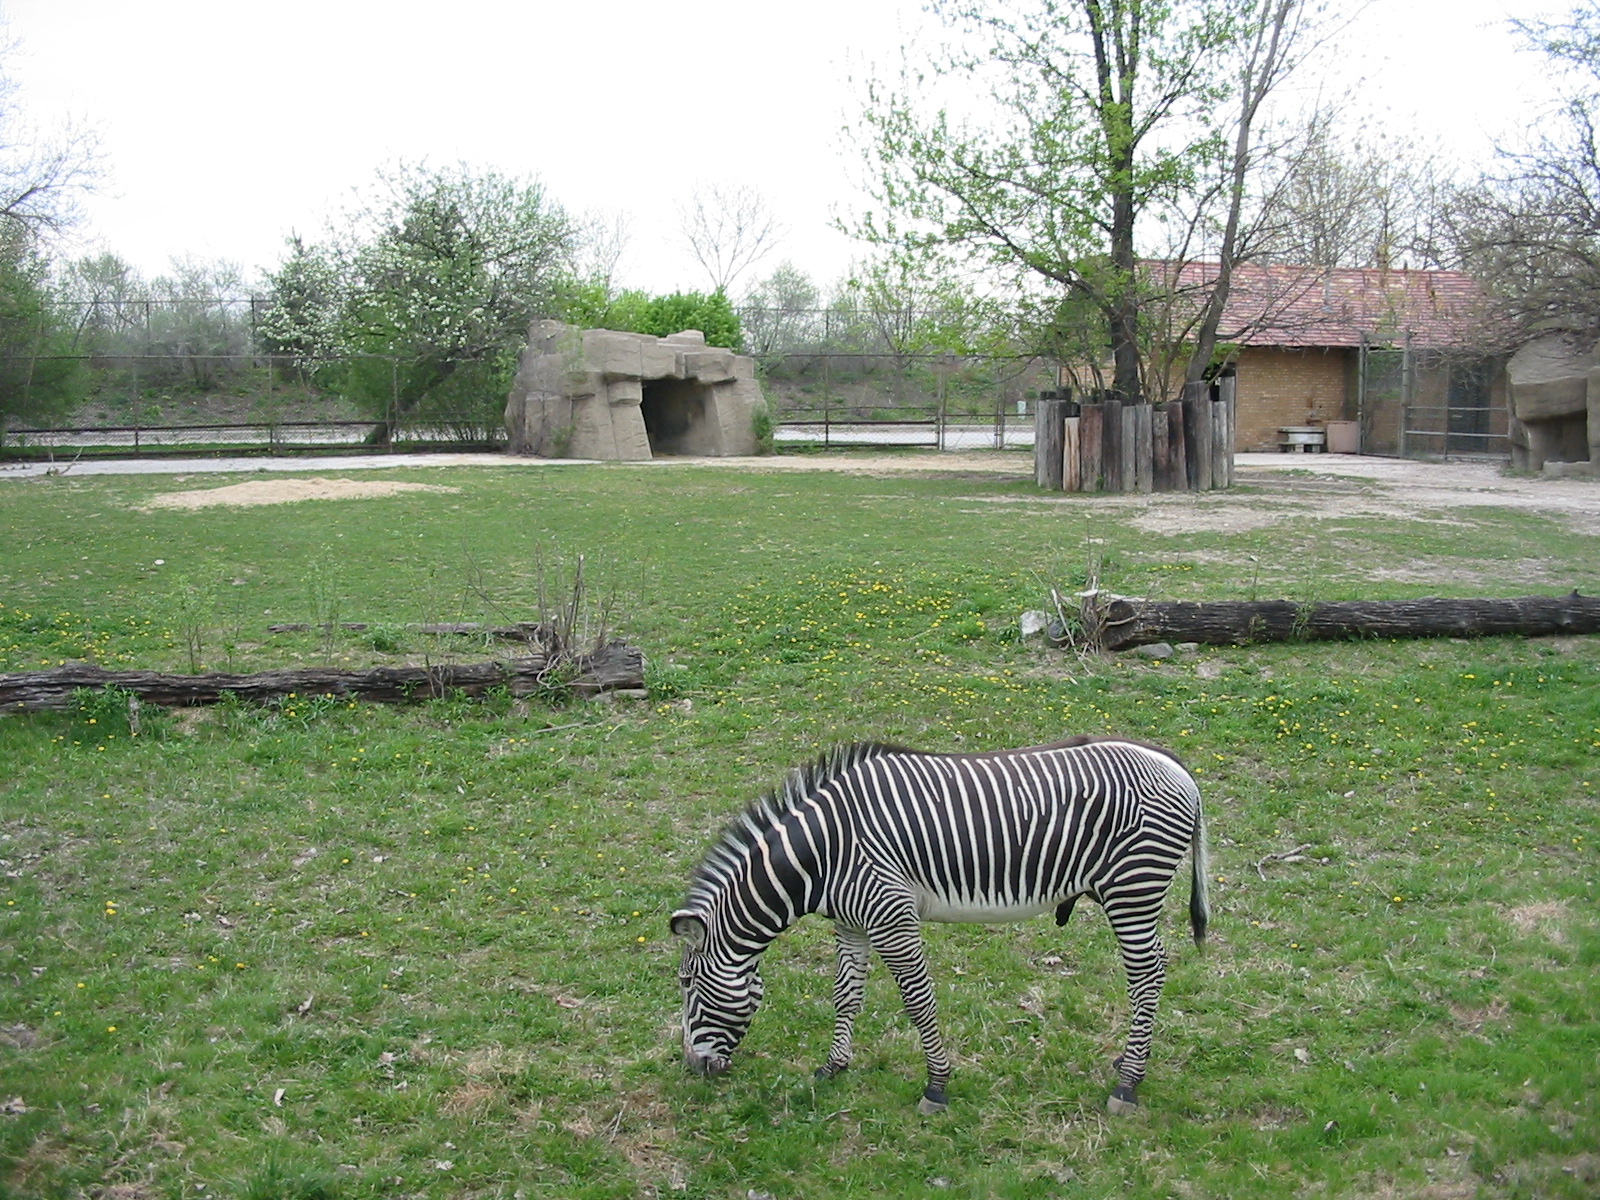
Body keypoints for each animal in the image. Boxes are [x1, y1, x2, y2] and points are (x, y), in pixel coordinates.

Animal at [671, 735, 1209, 1115]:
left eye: (687, 983)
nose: (694, 1068)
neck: (823, 854)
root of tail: (1172, 761)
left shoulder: (890, 915)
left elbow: (918, 1001)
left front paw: (937, 1086)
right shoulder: (851, 923)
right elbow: (846, 994)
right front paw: (833, 1066)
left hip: (1133, 887)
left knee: (1148, 973)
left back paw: (1128, 1084)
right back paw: (1128, 1063)